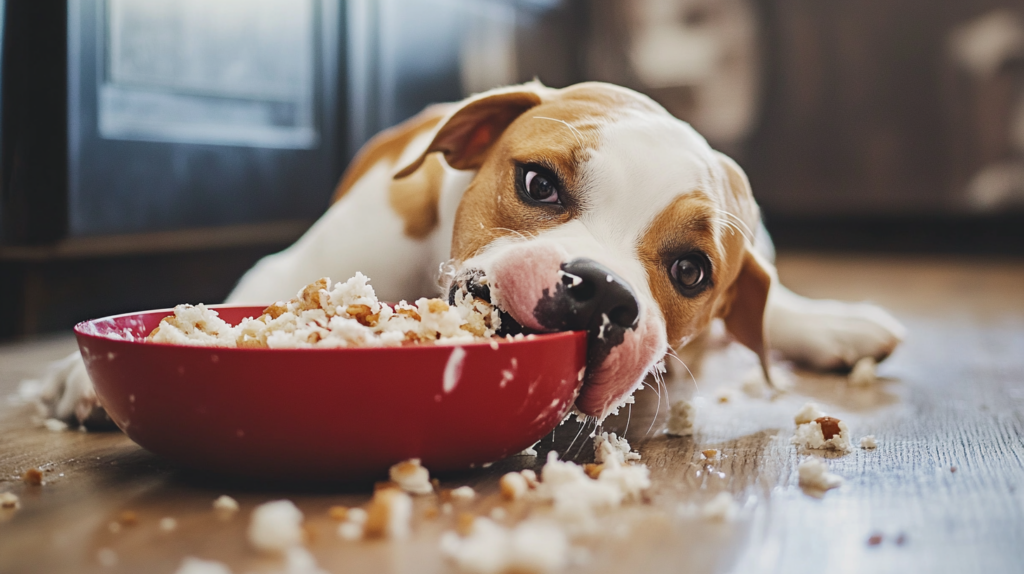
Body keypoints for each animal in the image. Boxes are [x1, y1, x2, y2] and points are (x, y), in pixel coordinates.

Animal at [39, 81, 905, 425]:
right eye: (538, 183)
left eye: (691, 271)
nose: (601, 291)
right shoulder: (285, 271)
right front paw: (86, 377)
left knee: (770, 305)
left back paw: (839, 325)